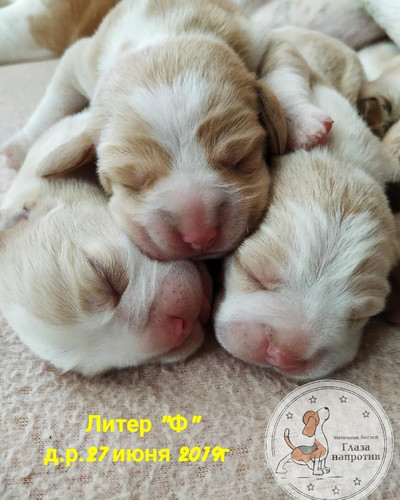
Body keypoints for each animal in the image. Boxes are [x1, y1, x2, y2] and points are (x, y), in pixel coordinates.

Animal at [0, 0, 287, 262]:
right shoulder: (82, 59)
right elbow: (57, 98)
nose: (199, 236)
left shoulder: (255, 40)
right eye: (131, 180)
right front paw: (20, 148)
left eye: (242, 157)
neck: (162, 40)